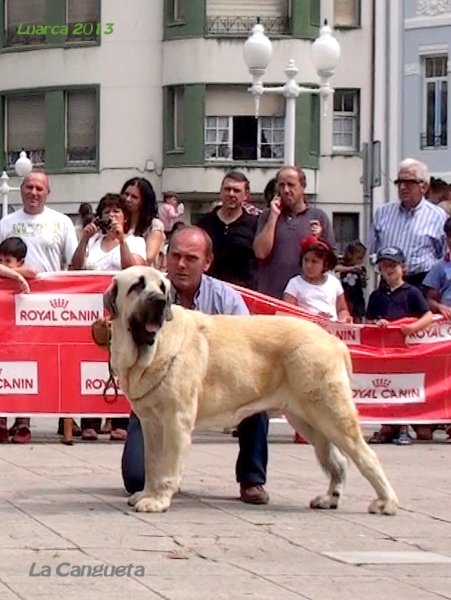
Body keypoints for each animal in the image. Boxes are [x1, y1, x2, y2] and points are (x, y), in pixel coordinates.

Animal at [102, 268, 400, 516]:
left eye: (162, 287)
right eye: (137, 286)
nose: (159, 301)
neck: (151, 350)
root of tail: (334, 341)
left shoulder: (176, 420)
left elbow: (167, 468)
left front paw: (158, 501)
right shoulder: (152, 423)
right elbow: (151, 464)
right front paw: (146, 494)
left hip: (331, 414)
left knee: (365, 456)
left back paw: (386, 502)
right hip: (310, 421)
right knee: (337, 462)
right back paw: (330, 499)